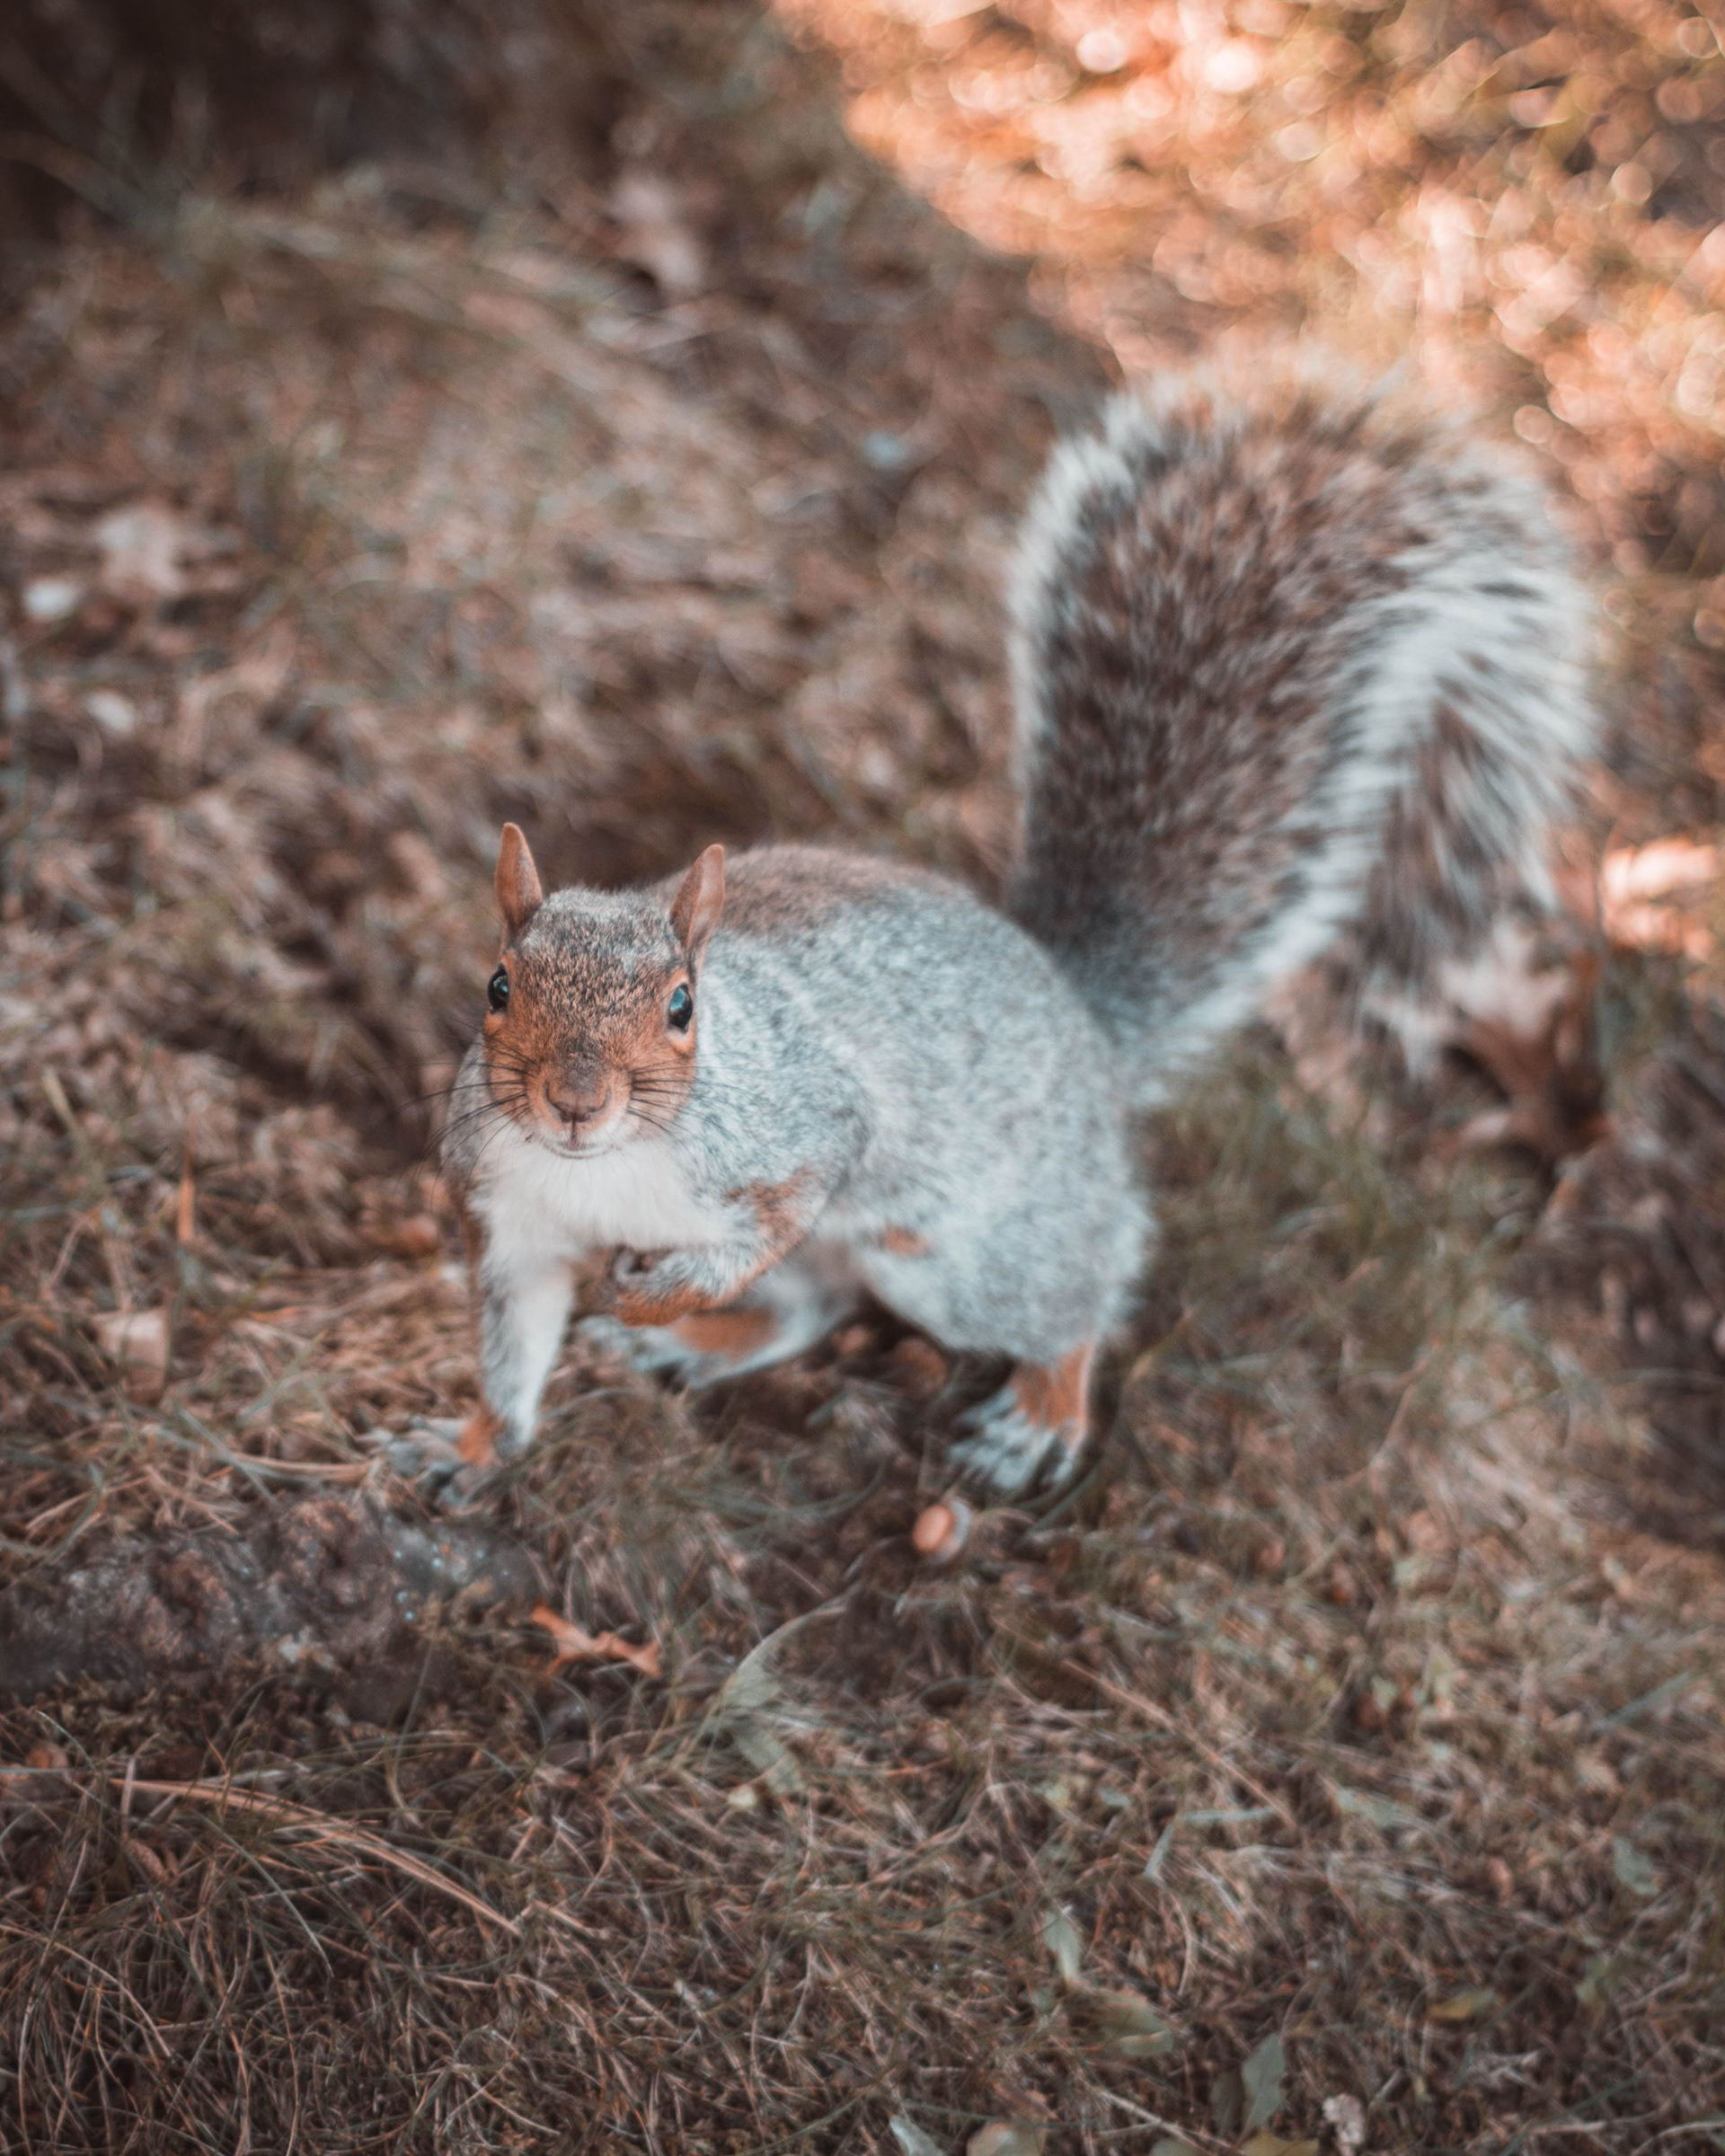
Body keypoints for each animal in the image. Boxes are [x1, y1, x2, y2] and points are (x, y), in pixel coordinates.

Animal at [409, 364, 1595, 1503]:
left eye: (682, 1006)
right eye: (498, 986)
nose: (574, 1102)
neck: (600, 1173)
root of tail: (1083, 1020)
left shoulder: (801, 1133)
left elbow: (776, 1212)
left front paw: (659, 1294)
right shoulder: (509, 1221)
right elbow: (512, 1347)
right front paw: (475, 1446)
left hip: (963, 1253)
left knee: (1075, 1293)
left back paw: (1039, 1408)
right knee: (812, 1309)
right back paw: (697, 1347)